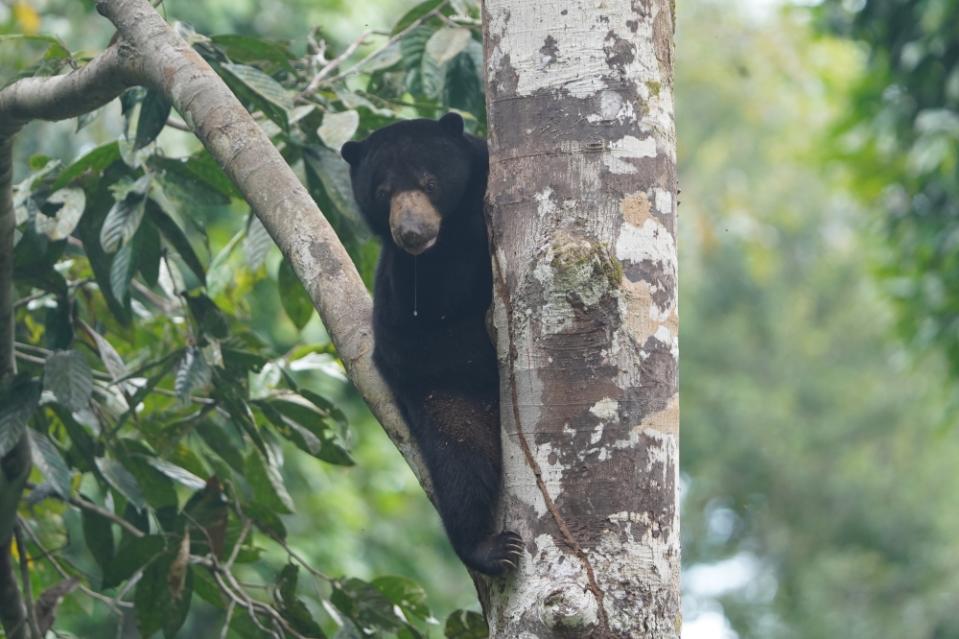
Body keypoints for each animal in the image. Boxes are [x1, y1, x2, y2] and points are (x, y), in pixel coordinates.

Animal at [344, 112, 520, 576]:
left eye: (430, 182)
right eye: (382, 191)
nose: (411, 232)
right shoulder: (407, 283)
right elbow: (433, 306)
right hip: (441, 391)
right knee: (461, 461)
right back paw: (489, 549)